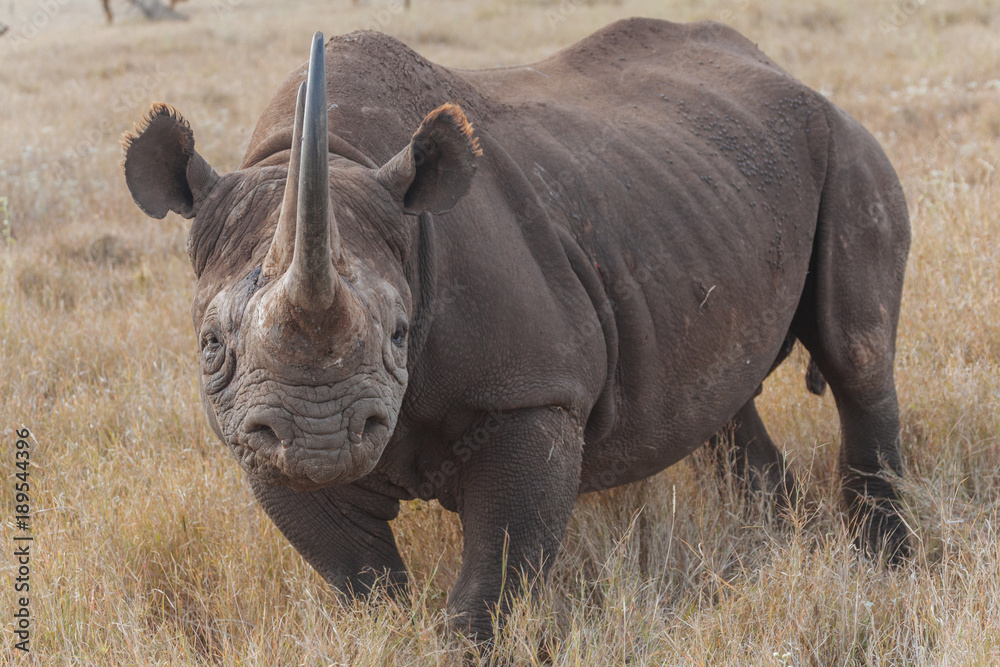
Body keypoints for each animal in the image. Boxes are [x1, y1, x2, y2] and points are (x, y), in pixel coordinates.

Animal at [121, 19, 911, 644]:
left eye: (400, 335)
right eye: (211, 347)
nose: (322, 440)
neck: (331, 159)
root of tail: (787, 73)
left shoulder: (534, 394)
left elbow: (493, 576)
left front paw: (461, 644)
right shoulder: (255, 439)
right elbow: (360, 579)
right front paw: (391, 631)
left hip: (848, 147)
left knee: (856, 356)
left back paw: (885, 566)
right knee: (723, 392)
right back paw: (782, 540)